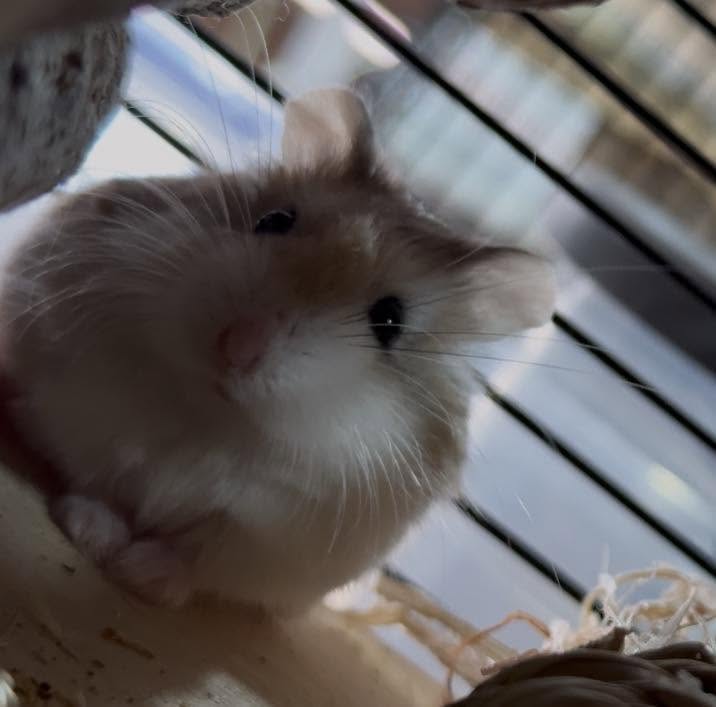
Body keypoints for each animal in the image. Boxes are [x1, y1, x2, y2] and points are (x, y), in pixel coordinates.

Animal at [0, 89, 555, 610]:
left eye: (389, 320)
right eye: (273, 219)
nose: (238, 347)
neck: (210, 412)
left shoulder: (273, 537)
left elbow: (201, 555)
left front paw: (141, 576)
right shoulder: (89, 425)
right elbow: (97, 485)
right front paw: (91, 532)